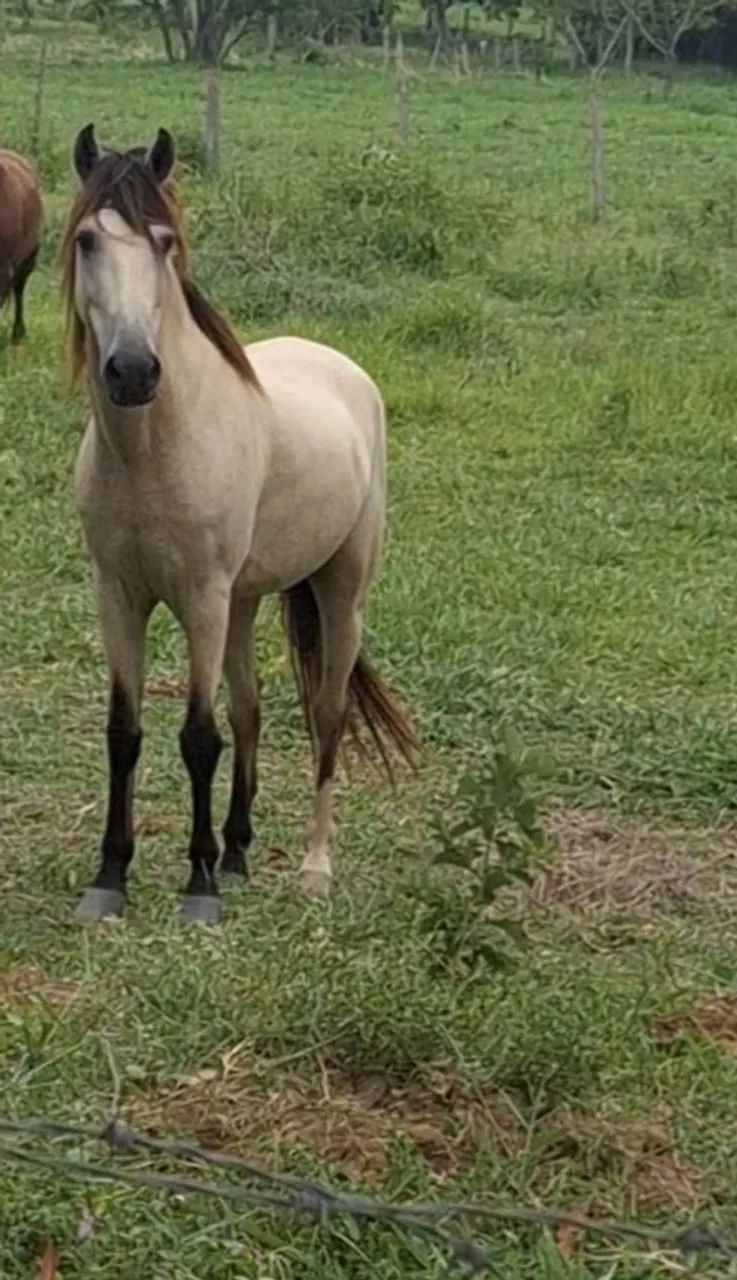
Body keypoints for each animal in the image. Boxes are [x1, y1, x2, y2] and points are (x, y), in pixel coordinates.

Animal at [62, 124, 416, 926]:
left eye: (164, 242)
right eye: (89, 240)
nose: (133, 371)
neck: (155, 449)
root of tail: (342, 367)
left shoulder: (201, 596)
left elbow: (199, 736)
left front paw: (198, 889)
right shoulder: (118, 595)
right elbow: (124, 732)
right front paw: (112, 876)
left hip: (338, 593)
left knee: (324, 715)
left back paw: (313, 868)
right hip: (246, 601)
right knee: (252, 711)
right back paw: (238, 850)